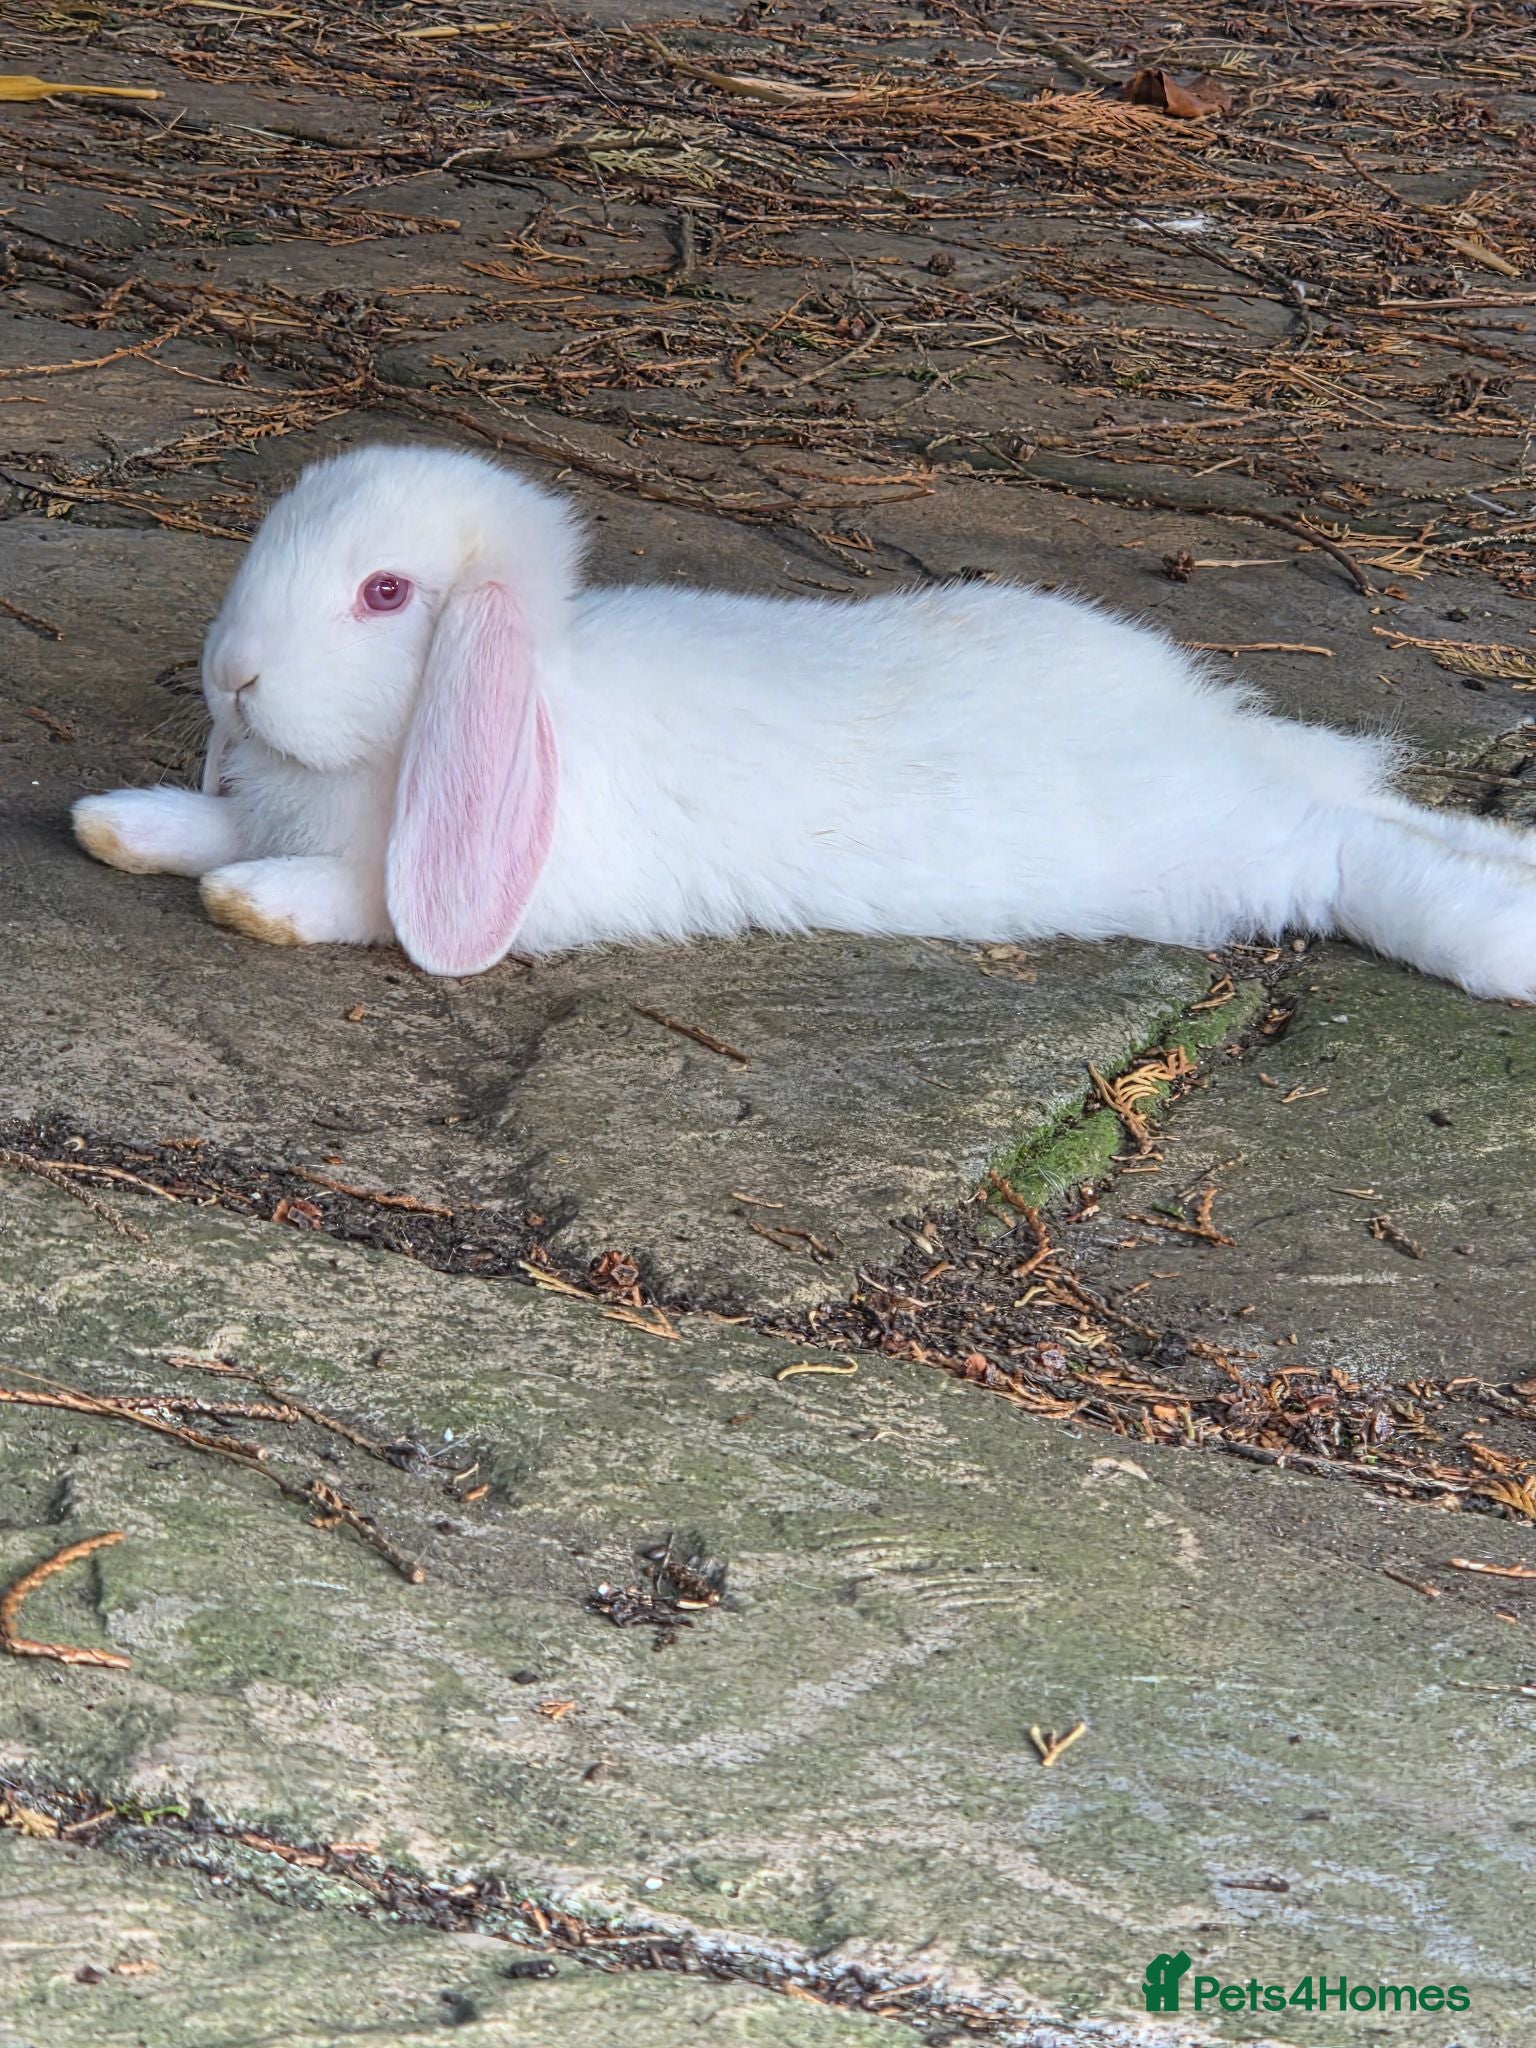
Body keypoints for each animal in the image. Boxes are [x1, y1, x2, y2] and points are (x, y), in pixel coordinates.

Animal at [72, 439, 1536, 997]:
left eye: (384, 593)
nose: (231, 675)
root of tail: (1221, 736)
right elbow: (207, 824)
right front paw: (115, 826)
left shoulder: (499, 883)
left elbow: (365, 896)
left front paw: (254, 901)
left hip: (1229, 852)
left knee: (1348, 850)